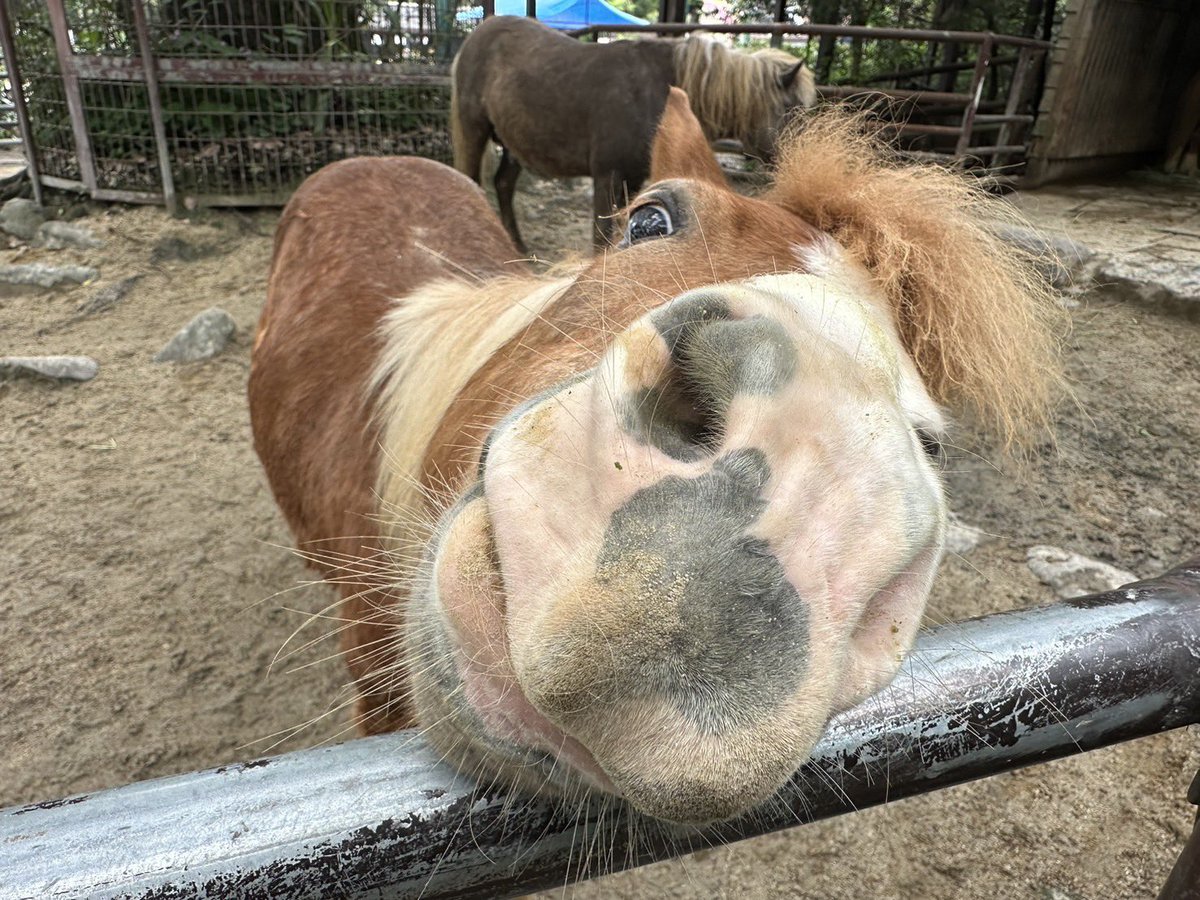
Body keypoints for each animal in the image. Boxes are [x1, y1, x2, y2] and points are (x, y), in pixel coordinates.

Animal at [451, 16, 816, 250]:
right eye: (792, 109)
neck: (659, 91)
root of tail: (477, 33)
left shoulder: (634, 178)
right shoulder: (607, 176)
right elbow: (602, 236)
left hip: (514, 143)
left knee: (503, 185)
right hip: (474, 129)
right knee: (470, 179)